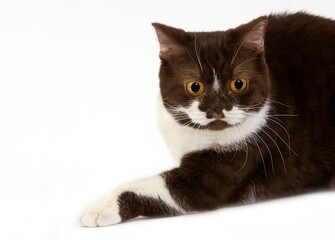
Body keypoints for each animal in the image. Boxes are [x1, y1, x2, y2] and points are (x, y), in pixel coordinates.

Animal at [80, 12, 335, 227]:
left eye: (238, 84)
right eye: (195, 87)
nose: (217, 108)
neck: (198, 133)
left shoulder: (219, 172)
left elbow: (158, 187)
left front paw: (99, 208)